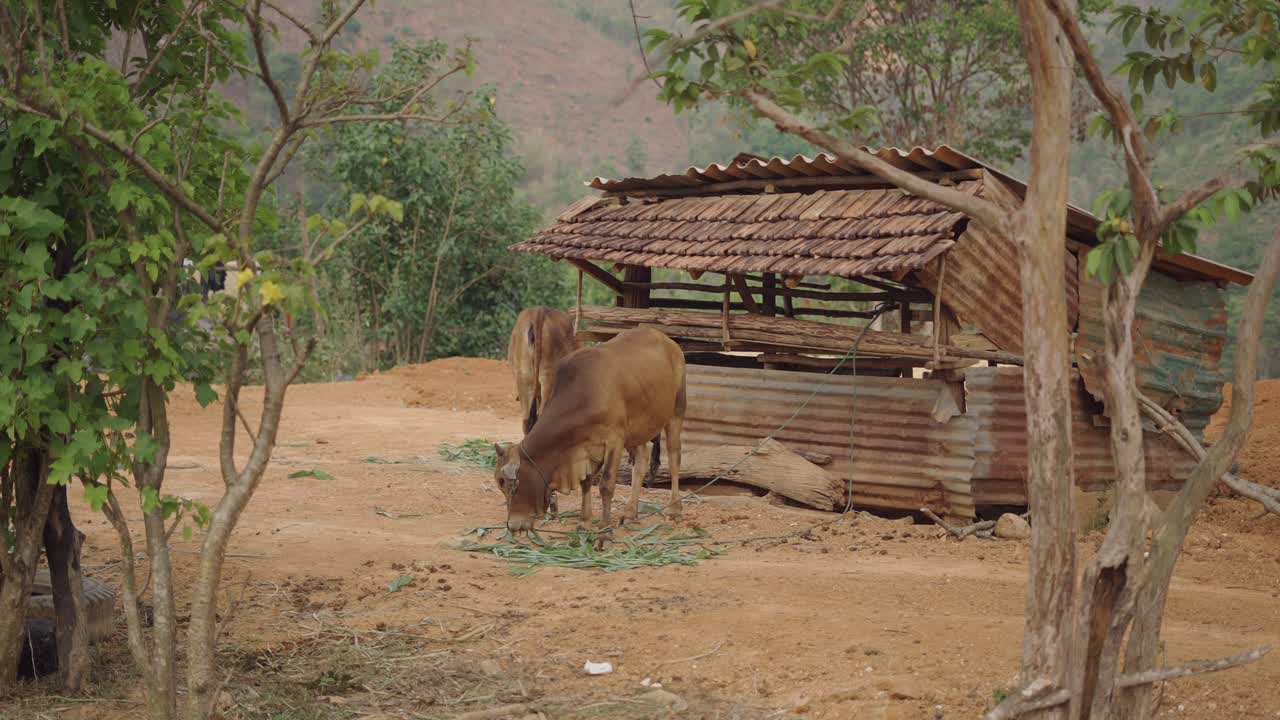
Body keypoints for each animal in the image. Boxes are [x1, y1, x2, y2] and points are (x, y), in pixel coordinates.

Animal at [493, 326, 685, 533]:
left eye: (503, 481)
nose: (512, 525)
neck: (585, 394)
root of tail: (666, 340)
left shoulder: (615, 440)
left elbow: (606, 484)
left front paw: (604, 528)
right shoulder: (584, 448)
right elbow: (586, 482)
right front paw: (584, 522)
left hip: (676, 413)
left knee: (674, 458)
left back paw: (675, 509)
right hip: (637, 431)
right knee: (641, 462)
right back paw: (629, 513)